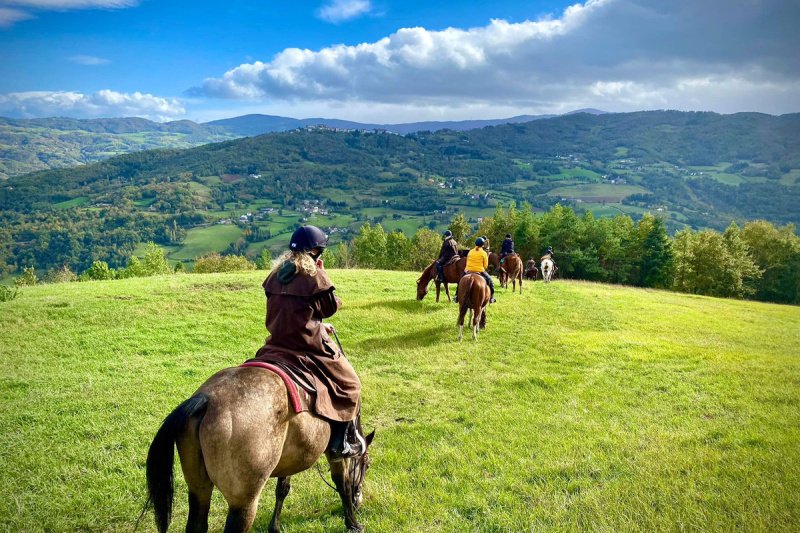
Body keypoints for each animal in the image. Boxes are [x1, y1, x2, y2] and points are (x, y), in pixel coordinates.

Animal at [145, 366, 376, 532]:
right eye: (366, 464)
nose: (359, 503)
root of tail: (207, 400)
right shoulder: (336, 455)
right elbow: (343, 484)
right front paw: (353, 524)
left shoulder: (289, 457)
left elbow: (282, 489)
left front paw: (274, 527)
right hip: (244, 503)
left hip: (198, 489)